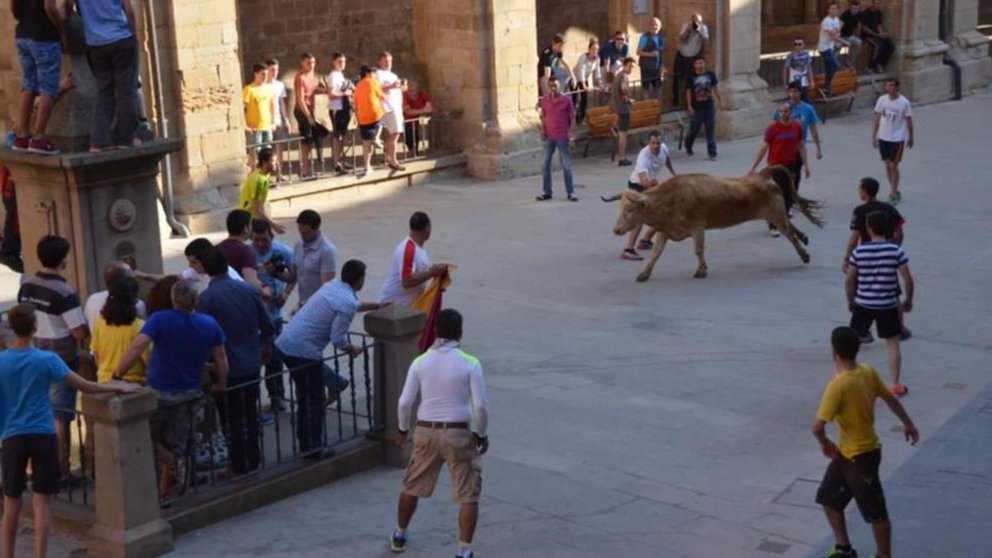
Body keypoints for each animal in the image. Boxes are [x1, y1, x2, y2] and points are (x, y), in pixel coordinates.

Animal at [604, 164, 820, 282]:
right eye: (620, 208)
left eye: (630, 210)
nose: (616, 229)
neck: (668, 199)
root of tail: (761, 175)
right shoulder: (665, 231)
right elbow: (656, 254)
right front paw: (644, 274)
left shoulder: (697, 228)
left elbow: (698, 250)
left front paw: (701, 270)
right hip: (777, 215)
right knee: (791, 229)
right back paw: (805, 240)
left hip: (776, 215)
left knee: (789, 234)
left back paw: (805, 255)